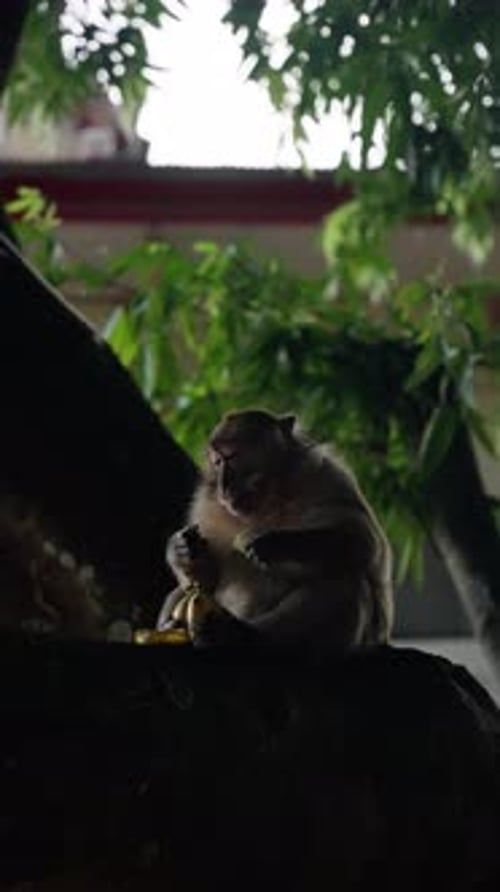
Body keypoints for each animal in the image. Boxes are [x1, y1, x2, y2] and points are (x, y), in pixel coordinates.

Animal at [156, 409, 393, 658]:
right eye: (217, 462)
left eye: (232, 456)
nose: (223, 486)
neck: (269, 501)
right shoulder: (207, 508)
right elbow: (205, 582)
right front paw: (181, 551)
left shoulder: (326, 477)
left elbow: (363, 542)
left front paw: (275, 543)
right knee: (181, 593)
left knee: (346, 580)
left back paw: (242, 636)